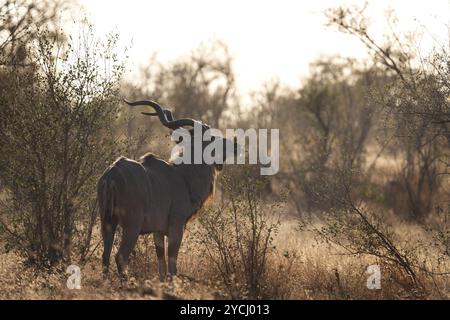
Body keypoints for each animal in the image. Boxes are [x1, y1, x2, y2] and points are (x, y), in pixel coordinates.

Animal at [97, 99, 237, 280]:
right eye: (212, 137)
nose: (236, 146)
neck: (183, 177)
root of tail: (112, 174)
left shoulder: (157, 231)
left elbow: (161, 262)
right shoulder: (176, 227)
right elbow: (172, 263)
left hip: (107, 222)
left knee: (105, 255)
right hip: (131, 226)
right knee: (120, 256)